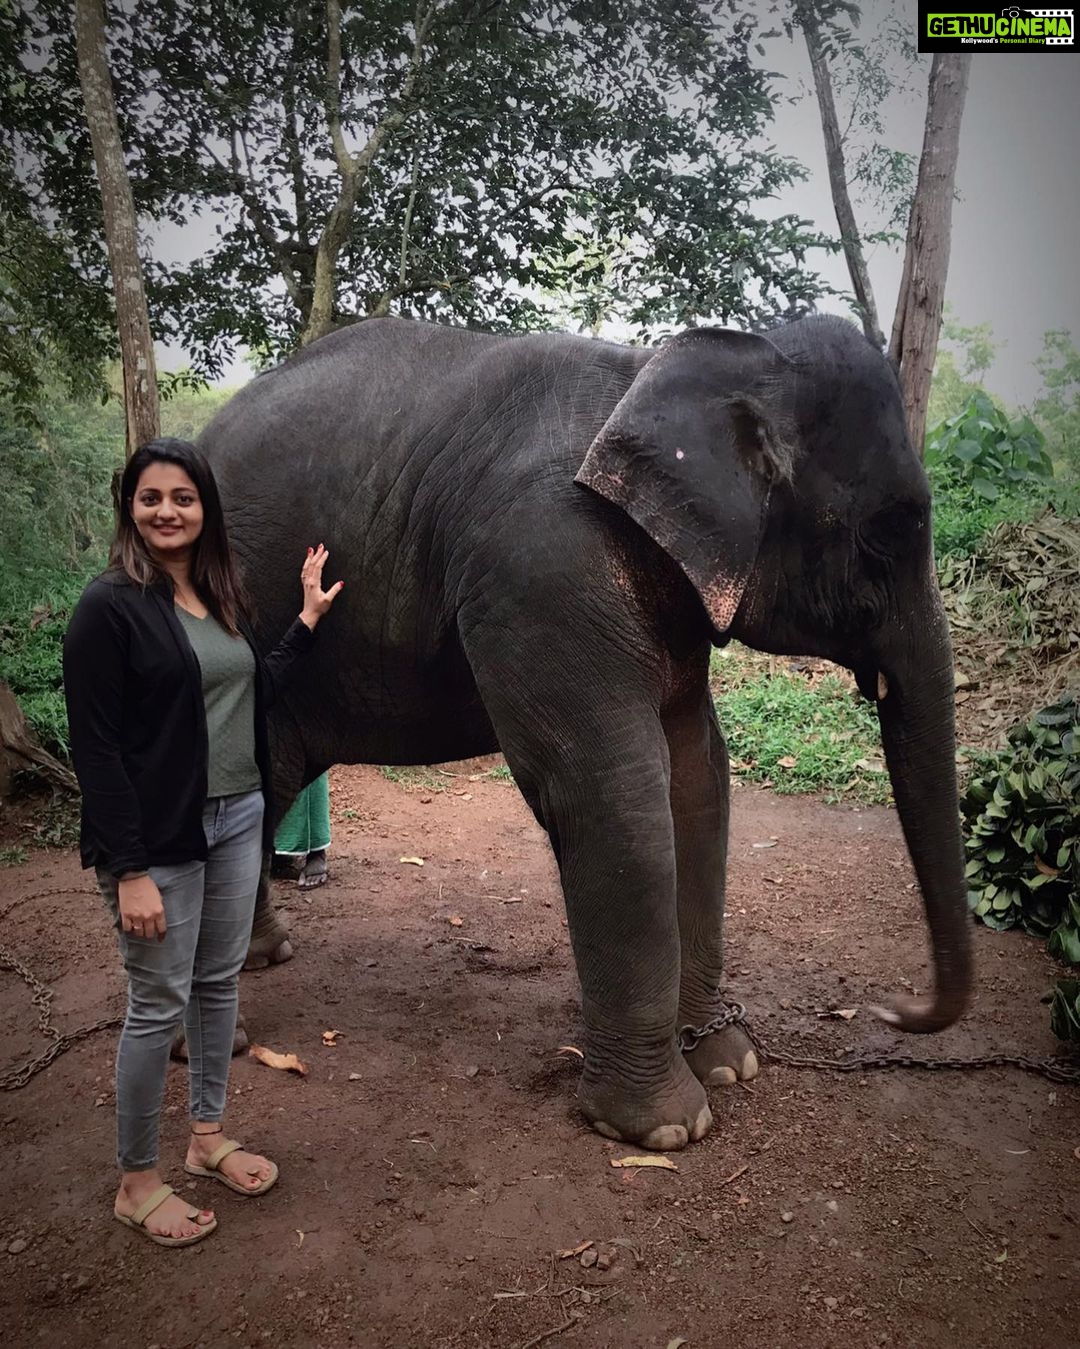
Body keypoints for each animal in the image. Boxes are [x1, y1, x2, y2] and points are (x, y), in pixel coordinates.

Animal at [198, 313, 972, 1151]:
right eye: (886, 535)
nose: (894, 1008)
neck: (657, 372)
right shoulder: (542, 569)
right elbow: (614, 791)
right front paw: (665, 1129)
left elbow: (698, 774)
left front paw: (729, 1063)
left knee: (270, 779)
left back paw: (265, 956)